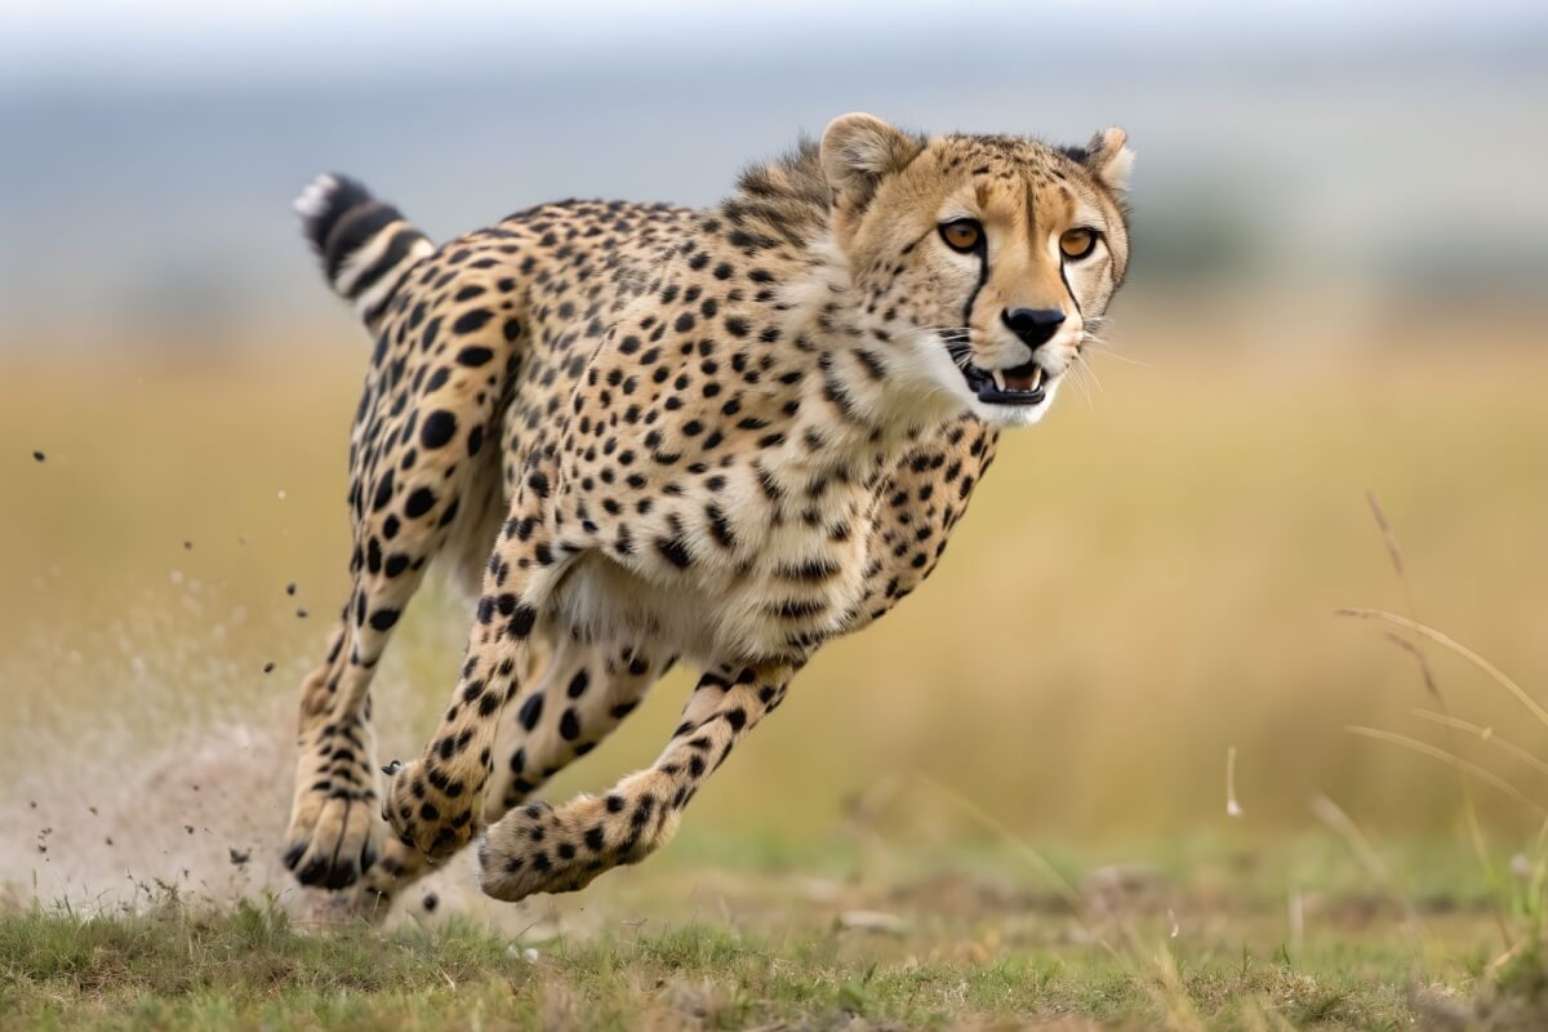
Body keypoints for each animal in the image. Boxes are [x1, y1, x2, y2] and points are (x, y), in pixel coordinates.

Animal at [282, 113, 1133, 915]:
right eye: (962, 234)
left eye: (1077, 242)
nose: (1039, 324)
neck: (862, 405)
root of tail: (507, 223)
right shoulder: (544, 515)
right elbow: (465, 733)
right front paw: (420, 804)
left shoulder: (778, 633)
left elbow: (660, 798)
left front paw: (534, 854)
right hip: (425, 457)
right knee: (336, 672)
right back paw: (334, 822)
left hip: (608, 672)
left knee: (515, 747)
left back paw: (350, 907)